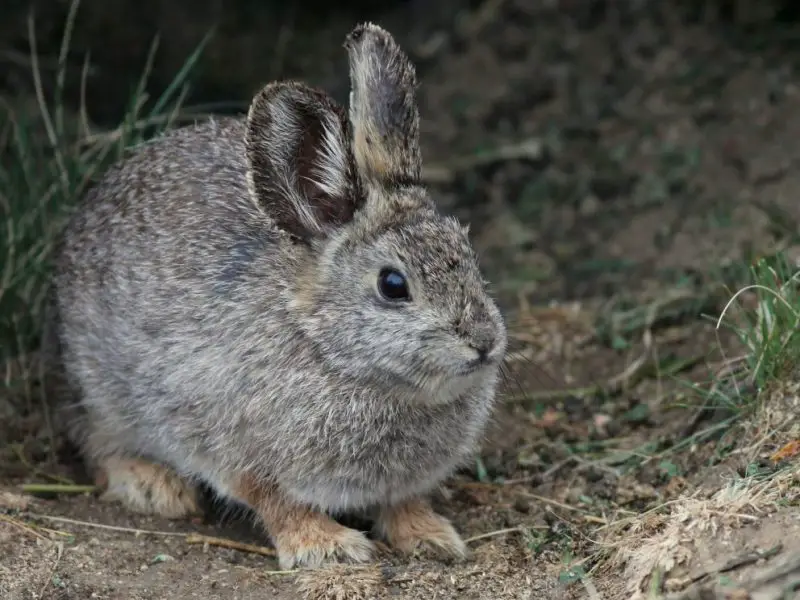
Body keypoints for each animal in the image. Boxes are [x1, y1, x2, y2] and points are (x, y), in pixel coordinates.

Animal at [48, 22, 508, 570]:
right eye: (393, 285)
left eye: (468, 250)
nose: (484, 341)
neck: (331, 352)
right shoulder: (235, 450)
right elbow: (278, 503)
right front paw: (327, 547)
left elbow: (402, 502)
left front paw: (431, 536)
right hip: (99, 390)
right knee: (96, 442)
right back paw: (155, 487)